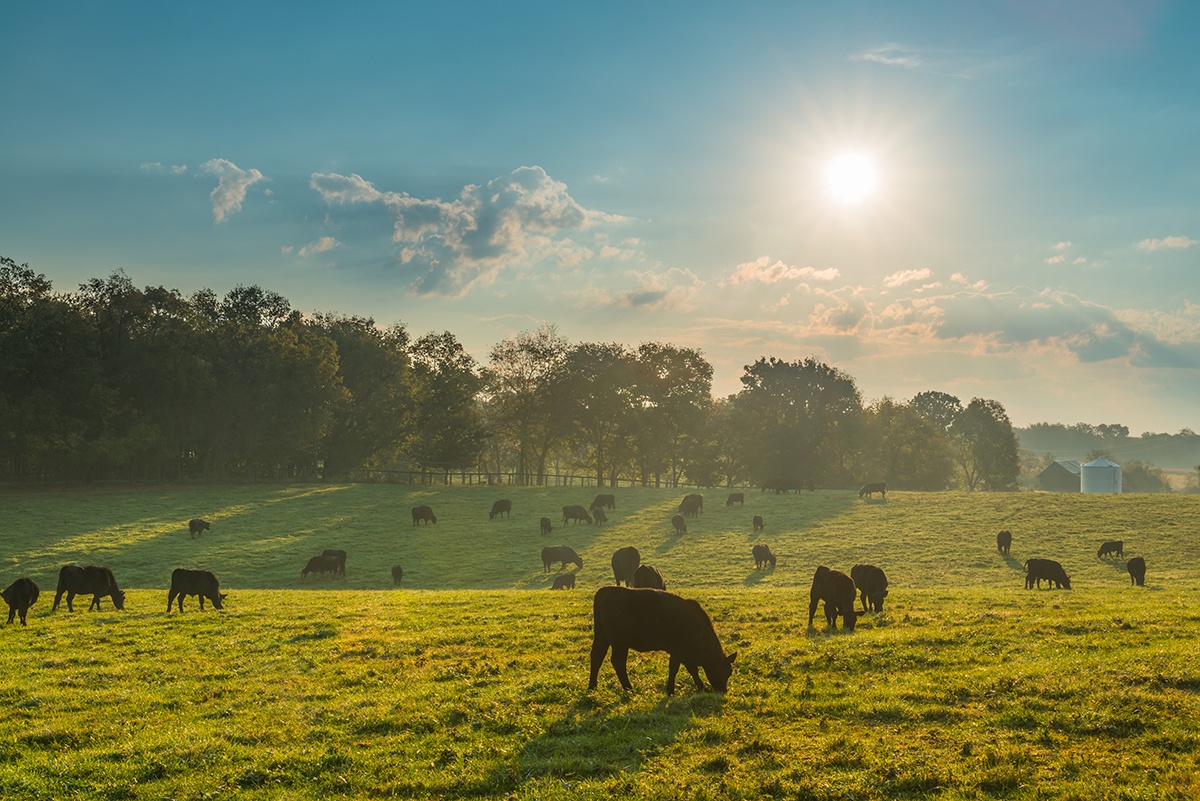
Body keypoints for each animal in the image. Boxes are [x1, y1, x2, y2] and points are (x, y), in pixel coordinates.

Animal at [585, 585, 734, 695]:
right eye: (725, 671)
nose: (723, 690)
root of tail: (604, 591)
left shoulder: (686, 655)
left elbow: (692, 670)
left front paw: (701, 687)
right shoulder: (678, 651)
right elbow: (674, 669)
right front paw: (671, 691)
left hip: (602, 637)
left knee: (597, 657)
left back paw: (592, 686)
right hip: (619, 642)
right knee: (618, 661)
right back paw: (629, 688)